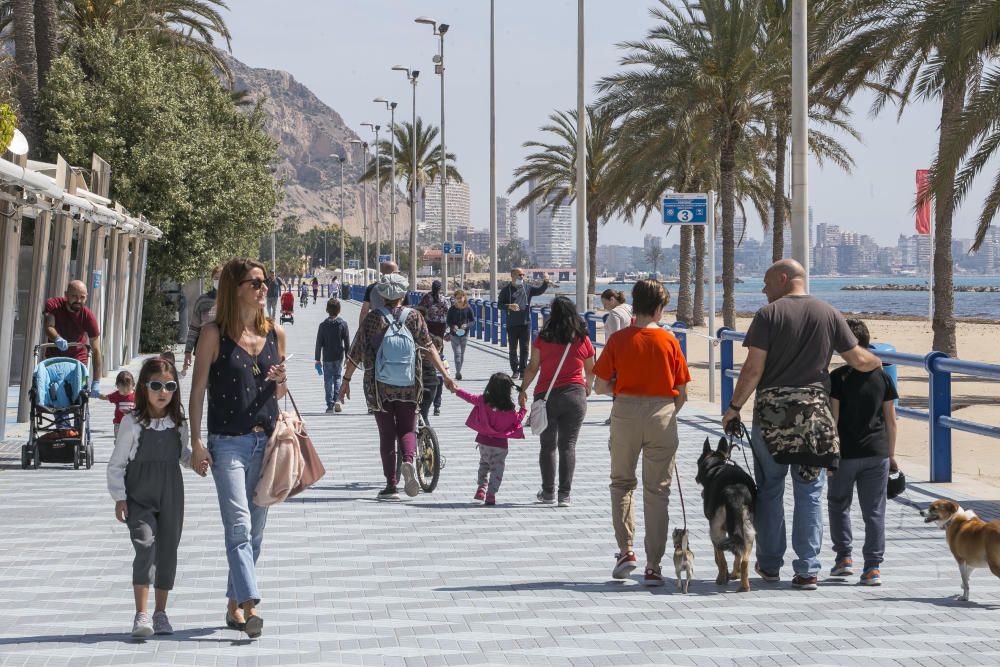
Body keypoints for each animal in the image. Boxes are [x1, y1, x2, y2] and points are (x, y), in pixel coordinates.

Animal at [696, 440, 756, 592]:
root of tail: (734, 491)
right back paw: (743, 584)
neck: (716, 465)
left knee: (722, 557)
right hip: (748, 530)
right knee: (744, 558)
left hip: (716, 531)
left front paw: (725, 575)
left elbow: (718, 558)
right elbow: (736, 555)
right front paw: (734, 573)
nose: (696, 478)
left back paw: (721, 578)